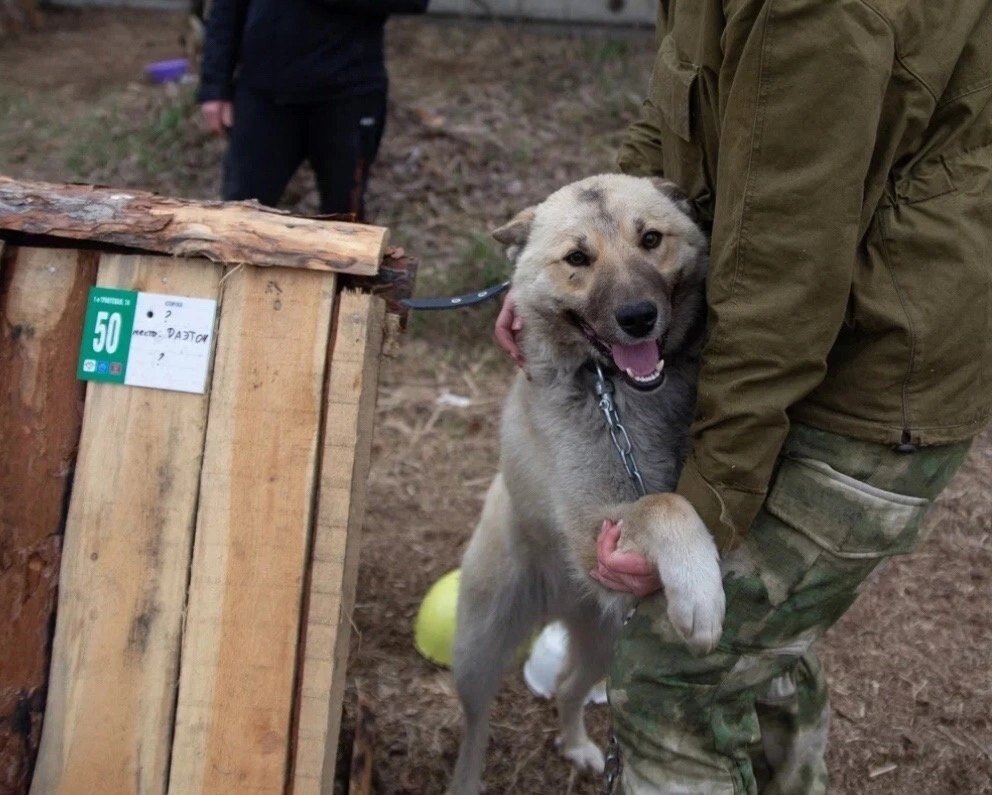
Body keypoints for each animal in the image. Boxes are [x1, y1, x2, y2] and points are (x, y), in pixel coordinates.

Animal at [454, 176, 724, 795]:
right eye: (578, 258)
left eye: (650, 240)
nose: (638, 317)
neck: (615, 391)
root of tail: (565, 599)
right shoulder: (589, 531)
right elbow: (662, 504)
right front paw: (701, 590)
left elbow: (668, 497)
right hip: (480, 650)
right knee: (475, 723)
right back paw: (466, 779)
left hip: (607, 647)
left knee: (569, 687)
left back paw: (576, 744)